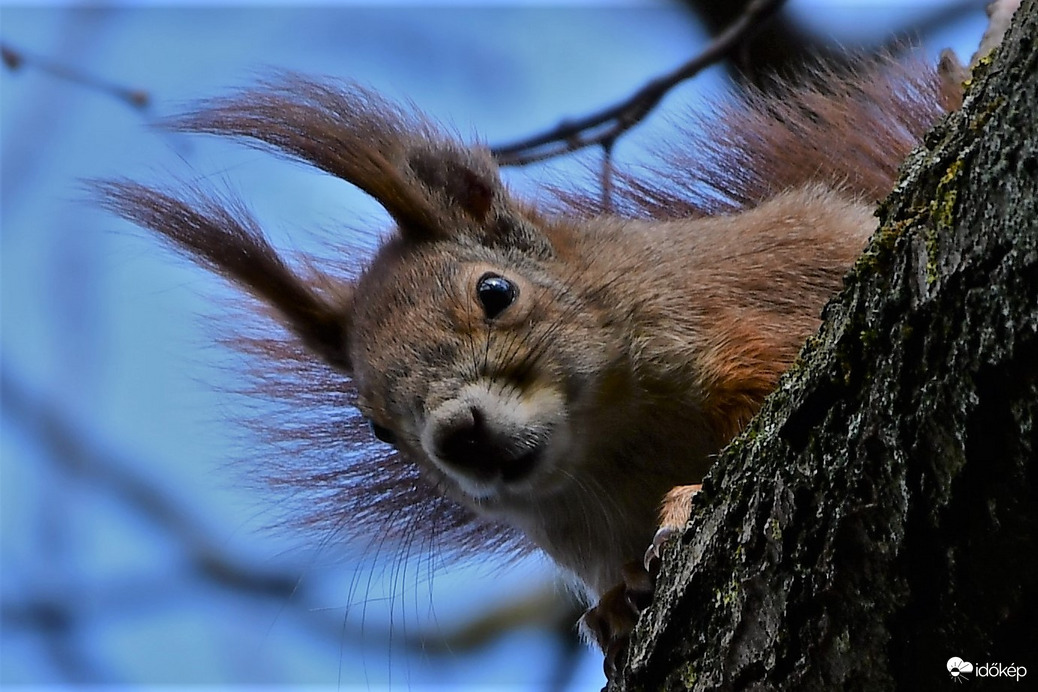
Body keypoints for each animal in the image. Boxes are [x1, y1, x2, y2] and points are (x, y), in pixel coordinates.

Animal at [95, 1, 1013, 672]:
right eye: (376, 428)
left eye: (495, 293)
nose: (456, 434)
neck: (607, 442)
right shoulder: (577, 529)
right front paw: (612, 607)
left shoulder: (752, 324)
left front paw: (686, 500)